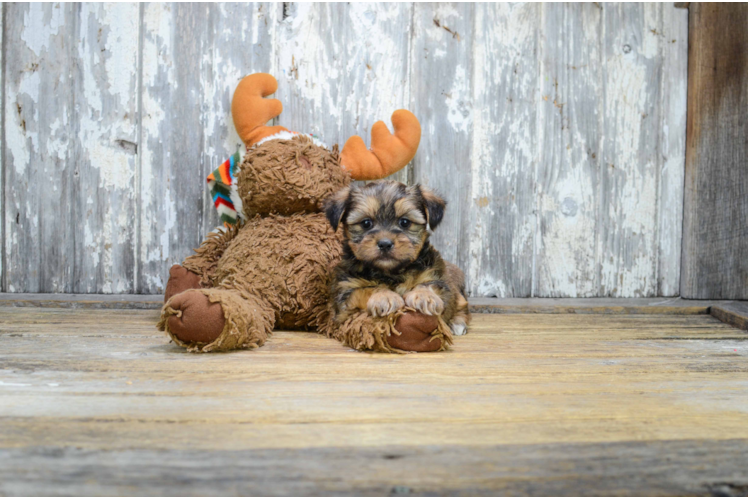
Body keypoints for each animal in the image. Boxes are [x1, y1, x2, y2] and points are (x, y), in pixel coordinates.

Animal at [326, 181, 468, 340]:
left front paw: (424, 296)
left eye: (404, 222)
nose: (385, 243)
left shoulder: (438, 280)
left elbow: (429, 285)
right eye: (366, 223)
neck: (391, 272)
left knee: (462, 304)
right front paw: (384, 296)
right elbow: (365, 289)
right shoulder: (344, 295)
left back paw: (457, 323)